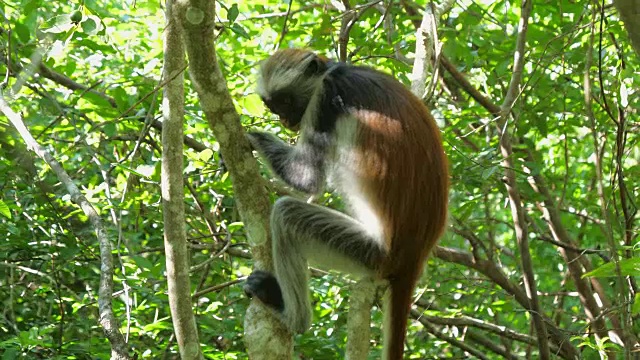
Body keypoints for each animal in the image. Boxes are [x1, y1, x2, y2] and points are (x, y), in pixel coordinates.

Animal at [245, 48, 450, 360]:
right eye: (273, 107)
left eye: (286, 102)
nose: (285, 121)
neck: (336, 71)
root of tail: (414, 256)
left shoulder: (324, 99)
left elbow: (307, 178)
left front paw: (251, 137)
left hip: (369, 253)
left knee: (286, 213)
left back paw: (291, 314)